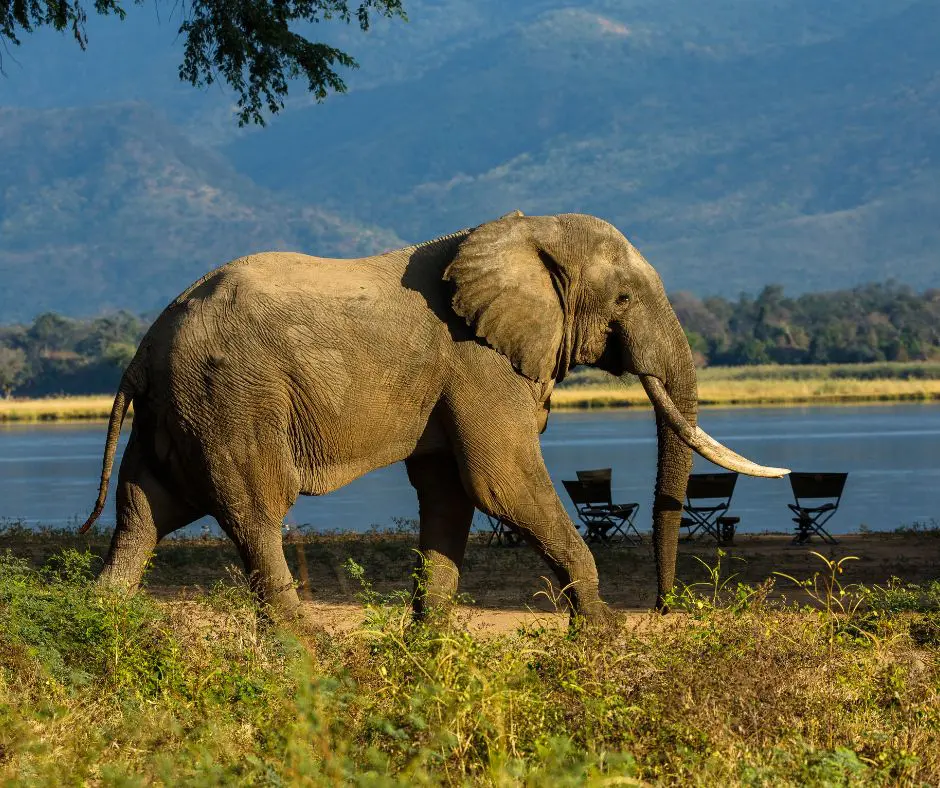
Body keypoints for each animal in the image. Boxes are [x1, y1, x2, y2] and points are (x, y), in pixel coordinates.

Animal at [81, 211, 787, 624]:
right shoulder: (480, 363)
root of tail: (143, 349)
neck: (529, 233)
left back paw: (96, 628)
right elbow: (503, 484)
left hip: (181, 412)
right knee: (255, 511)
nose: (667, 610)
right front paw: (600, 647)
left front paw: (429, 650)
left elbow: (451, 493)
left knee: (144, 513)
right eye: (622, 298)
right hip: (229, 400)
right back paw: (309, 664)